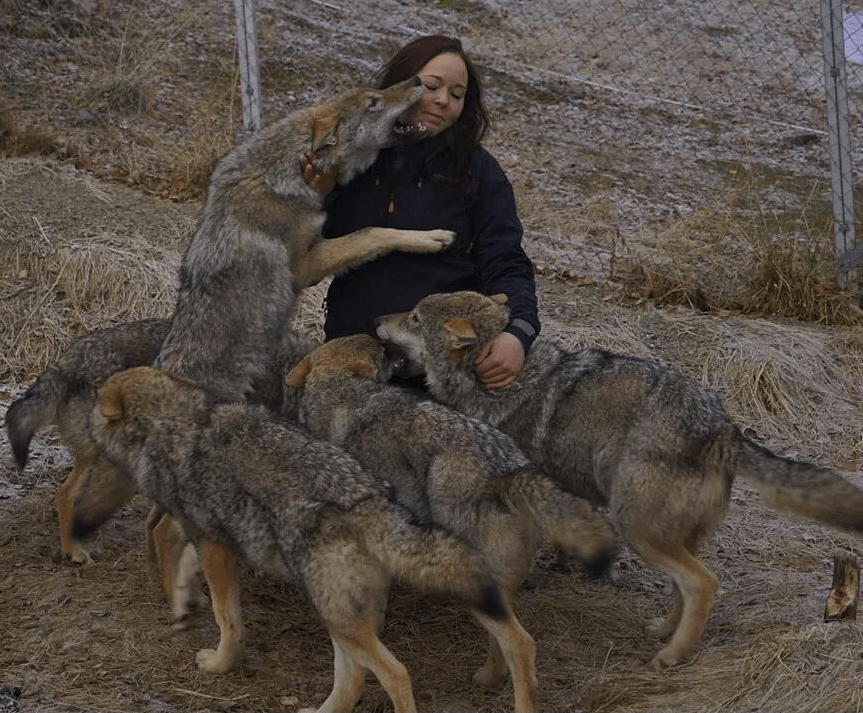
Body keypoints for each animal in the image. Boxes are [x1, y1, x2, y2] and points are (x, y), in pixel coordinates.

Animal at [90, 366, 539, 713]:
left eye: (95, 405)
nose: (86, 427)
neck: (177, 423)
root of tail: (368, 500)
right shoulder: (214, 538)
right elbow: (185, 563)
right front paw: (183, 600)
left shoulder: (214, 547)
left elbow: (226, 618)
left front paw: (220, 663)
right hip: (359, 611)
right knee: (510, 643)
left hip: (345, 614)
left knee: (397, 673)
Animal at [283, 334, 617, 697]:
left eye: (383, 350)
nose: (390, 344)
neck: (341, 390)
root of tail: (508, 471)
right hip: (492, 590)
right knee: (502, 641)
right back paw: (488, 680)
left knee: (520, 643)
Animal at [375, 290, 863, 669]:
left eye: (414, 317)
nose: (378, 320)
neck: (493, 380)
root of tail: (718, 427)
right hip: (668, 532)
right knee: (683, 586)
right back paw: (665, 630)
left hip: (636, 527)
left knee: (702, 583)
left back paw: (672, 655)